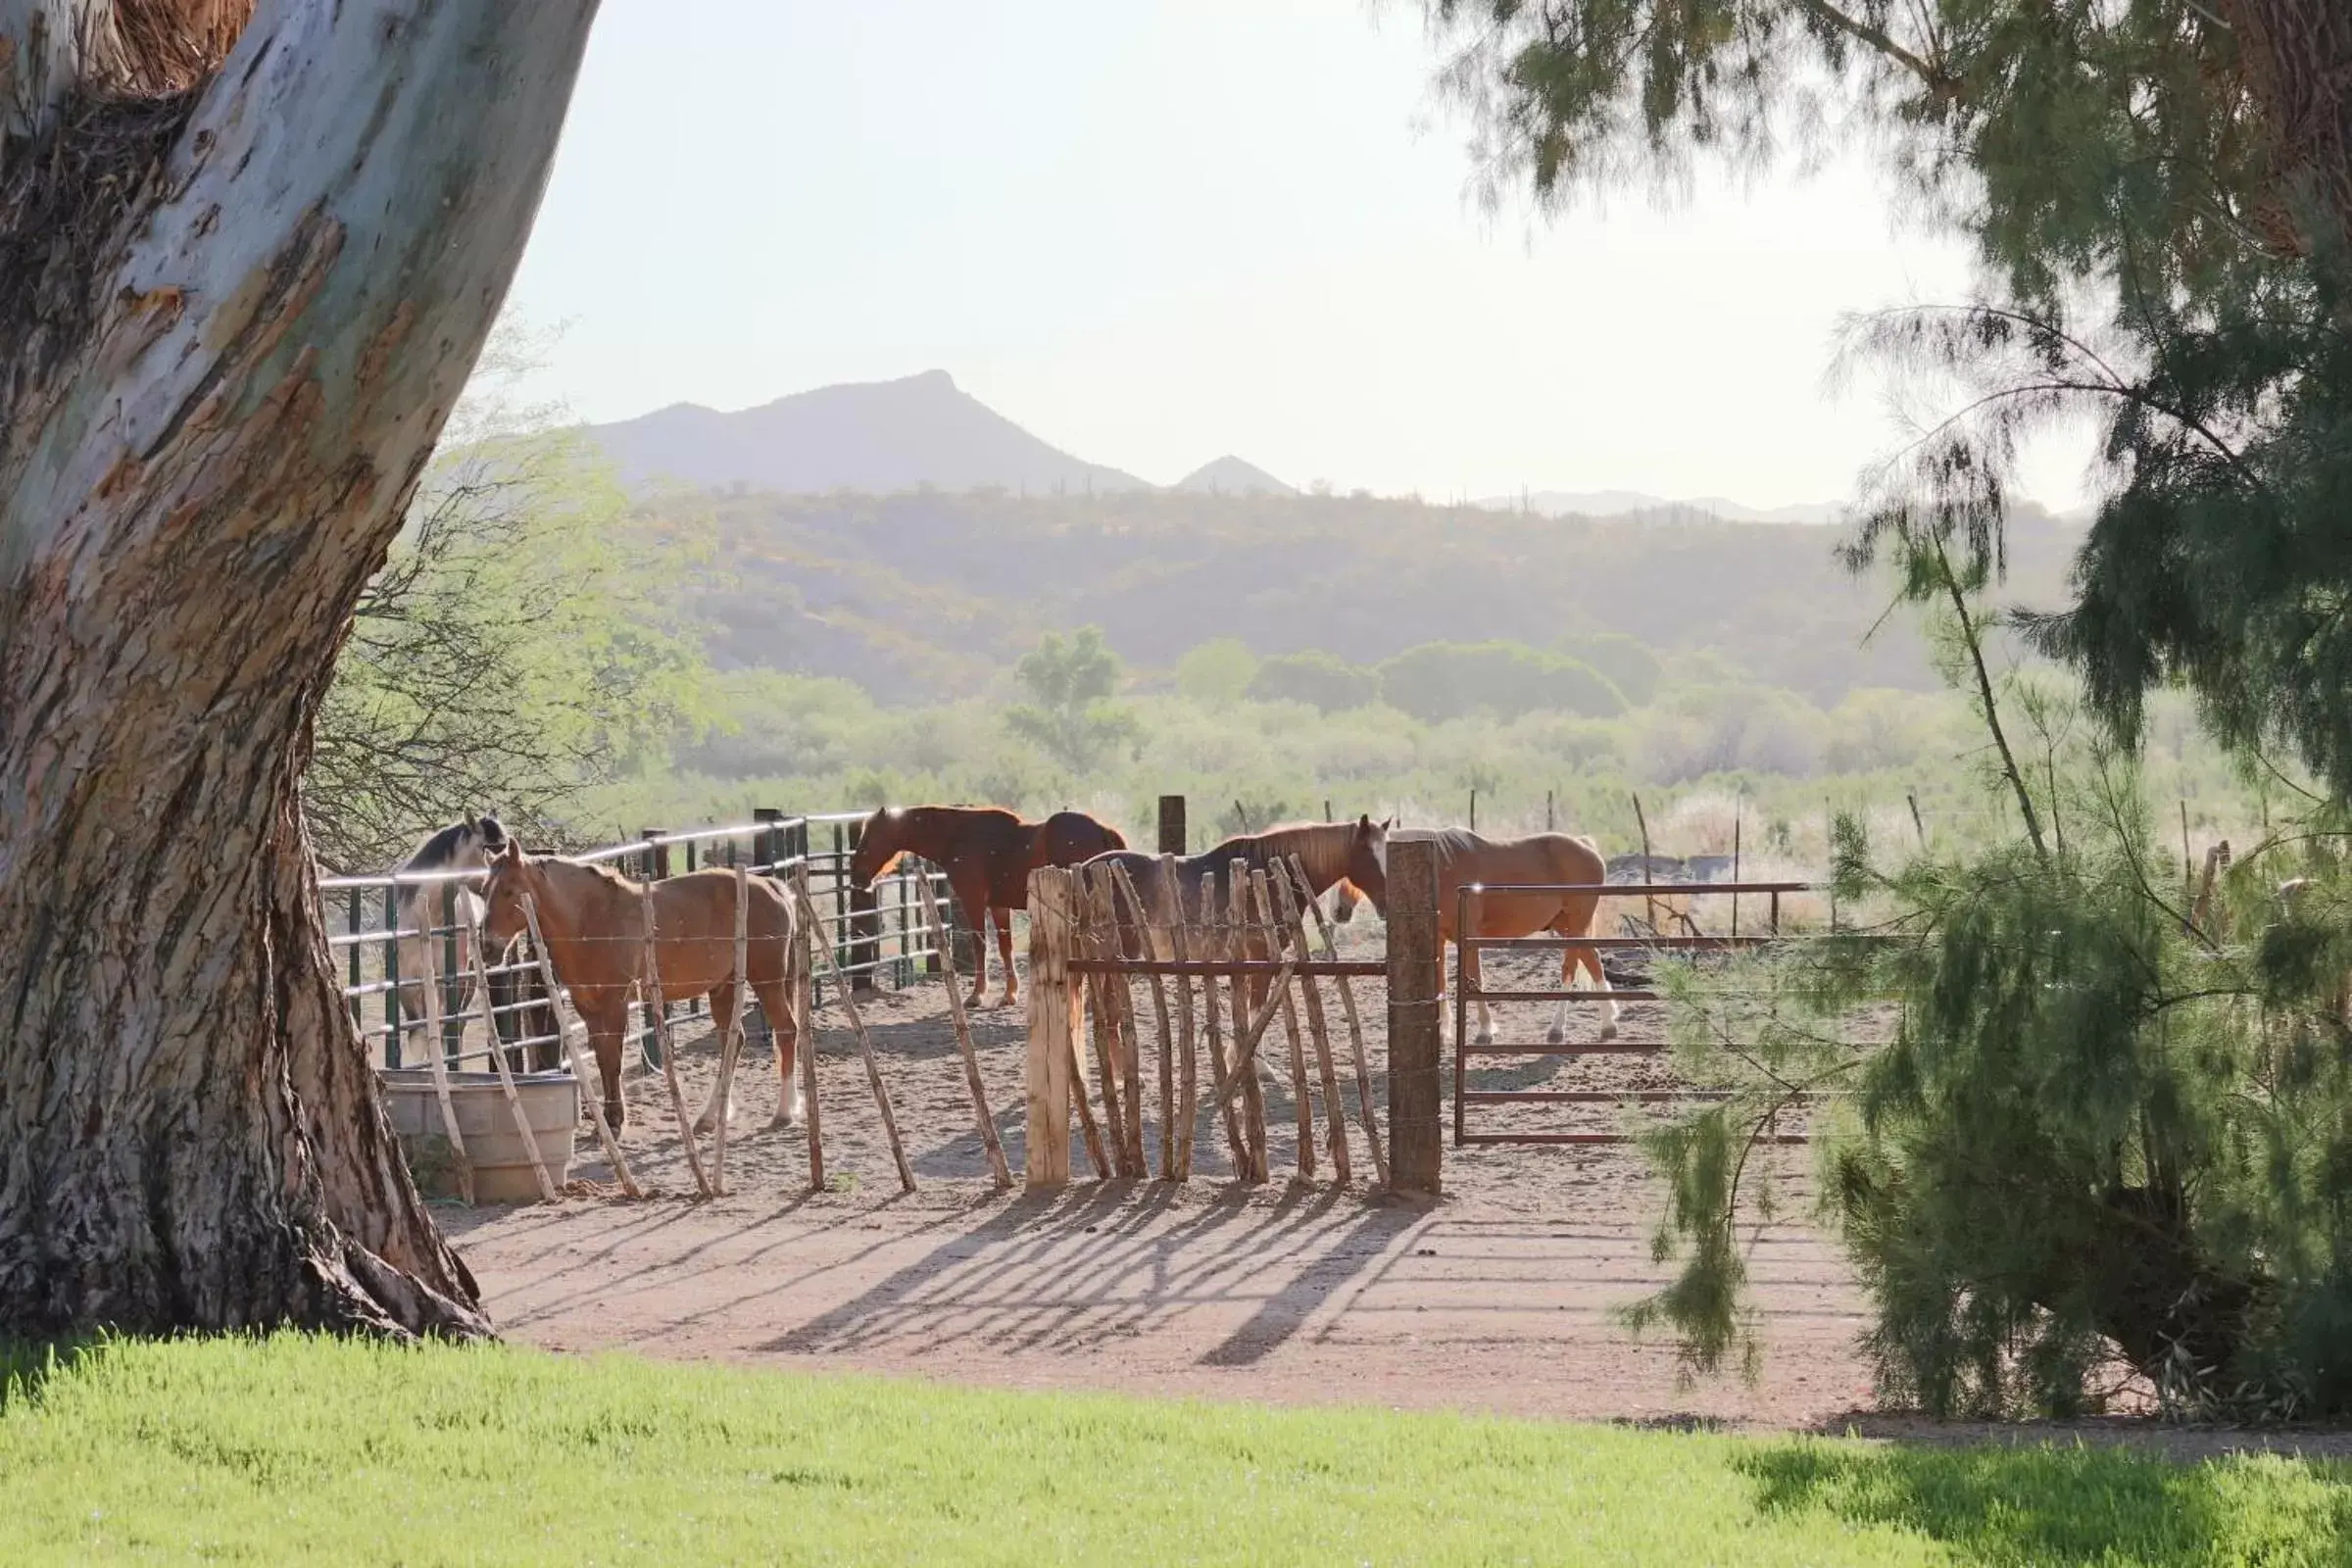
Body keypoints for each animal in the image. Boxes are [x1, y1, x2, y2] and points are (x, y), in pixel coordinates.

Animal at [479, 841, 808, 1133]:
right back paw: (711, 1117)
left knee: (786, 1030)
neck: (593, 918)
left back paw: (783, 1113)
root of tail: (773, 887)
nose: (487, 948)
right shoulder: (588, 1007)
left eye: (510, 890)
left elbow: (613, 1060)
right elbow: (602, 1059)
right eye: (483, 891)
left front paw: (614, 1123)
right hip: (724, 987)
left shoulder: (615, 1003)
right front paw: (606, 1122)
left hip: (767, 981)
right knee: (733, 1041)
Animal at [851, 804, 1124, 1010]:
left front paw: (976, 995)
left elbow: (980, 945)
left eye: (870, 836)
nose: (857, 877)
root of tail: (1102, 829)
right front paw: (1009, 995)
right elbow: (1005, 948)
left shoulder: (973, 901)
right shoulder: (999, 906)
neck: (958, 836)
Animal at [1392, 827, 1618, 1048]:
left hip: (1576, 927)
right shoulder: (1438, 939)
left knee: (1570, 967)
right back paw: (1608, 1024)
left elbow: (1474, 979)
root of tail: (1585, 845)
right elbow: (1441, 981)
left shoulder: (1468, 939)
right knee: (1592, 959)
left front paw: (1484, 1031)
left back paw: (1558, 1029)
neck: (1442, 866)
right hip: (1567, 927)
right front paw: (1442, 1032)